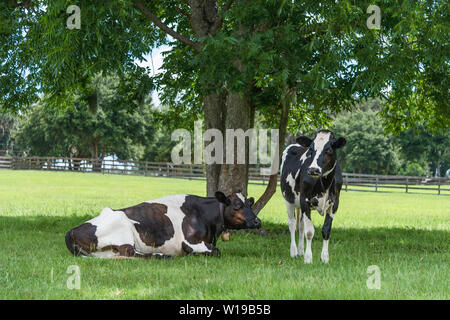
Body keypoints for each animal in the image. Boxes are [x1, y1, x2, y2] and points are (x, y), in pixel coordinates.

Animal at [64, 190, 260, 258]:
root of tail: (71, 231)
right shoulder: (189, 241)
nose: (257, 221)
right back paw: (161, 255)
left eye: (250, 203)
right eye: (236, 205)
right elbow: (216, 251)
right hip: (123, 229)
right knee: (131, 252)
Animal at [280, 129, 346, 264]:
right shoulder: (305, 201)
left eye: (329, 149)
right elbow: (309, 232)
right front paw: (308, 258)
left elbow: (326, 230)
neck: (324, 185)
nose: (313, 170)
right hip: (289, 199)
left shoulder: (334, 204)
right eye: (311, 149)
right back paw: (294, 252)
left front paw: (325, 257)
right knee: (292, 224)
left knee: (300, 226)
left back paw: (300, 251)